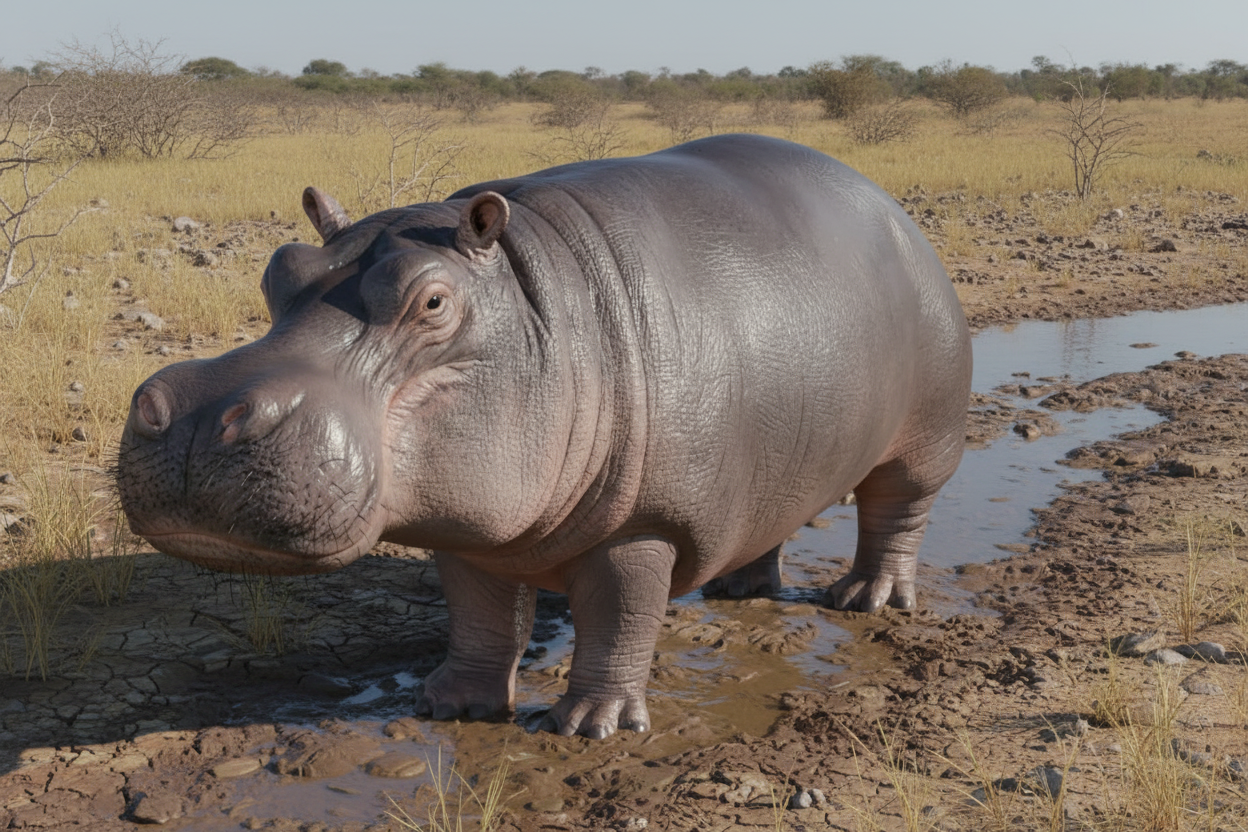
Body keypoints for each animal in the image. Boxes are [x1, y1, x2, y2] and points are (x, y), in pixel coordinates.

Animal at [117, 134, 971, 739]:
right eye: (278, 269)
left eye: (433, 301)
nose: (197, 414)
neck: (535, 299)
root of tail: (890, 205)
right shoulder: (469, 526)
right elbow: (480, 613)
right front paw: (450, 705)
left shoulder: (644, 525)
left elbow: (620, 616)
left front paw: (591, 726)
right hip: (786, 443)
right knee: (774, 513)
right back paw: (739, 589)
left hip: (924, 441)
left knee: (896, 513)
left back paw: (865, 600)